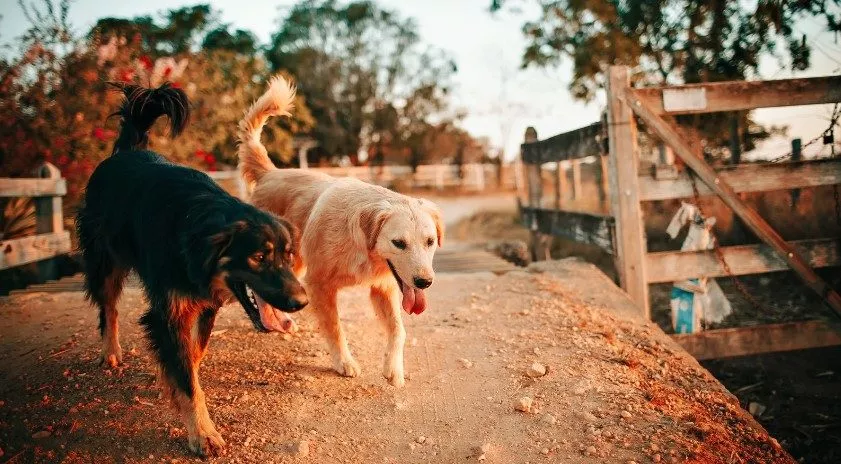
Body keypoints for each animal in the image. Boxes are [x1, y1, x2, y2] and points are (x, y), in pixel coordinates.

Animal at [77, 84, 306, 456]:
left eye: (288, 256)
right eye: (258, 257)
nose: (302, 302)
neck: (197, 230)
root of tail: (126, 152)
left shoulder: (205, 304)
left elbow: (192, 357)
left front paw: (172, 380)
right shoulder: (168, 311)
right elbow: (186, 377)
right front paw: (202, 432)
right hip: (104, 261)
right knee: (108, 308)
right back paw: (110, 352)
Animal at [236, 77, 442, 388]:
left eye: (430, 242)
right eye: (399, 243)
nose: (424, 282)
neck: (362, 246)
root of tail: (271, 173)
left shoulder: (382, 288)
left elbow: (399, 330)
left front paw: (393, 369)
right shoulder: (320, 285)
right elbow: (334, 328)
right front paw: (344, 362)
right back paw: (271, 321)